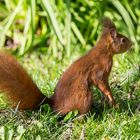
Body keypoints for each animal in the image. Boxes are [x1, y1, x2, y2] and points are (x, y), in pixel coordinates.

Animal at [0, 18, 132, 115]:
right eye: (123, 40)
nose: (132, 44)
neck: (105, 52)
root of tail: (55, 104)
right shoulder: (99, 71)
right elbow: (102, 84)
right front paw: (112, 99)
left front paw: (109, 102)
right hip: (83, 96)